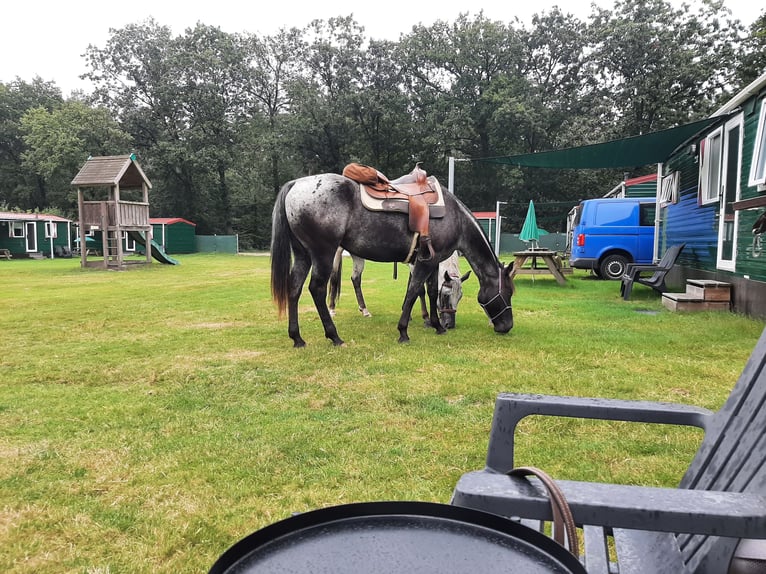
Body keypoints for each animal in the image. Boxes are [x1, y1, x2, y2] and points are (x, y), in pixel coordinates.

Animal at [270, 173, 516, 348]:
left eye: (461, 296)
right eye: (507, 293)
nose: (507, 326)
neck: (454, 217)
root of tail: (295, 184)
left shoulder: (433, 262)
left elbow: (429, 291)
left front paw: (436, 326)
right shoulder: (424, 263)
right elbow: (414, 291)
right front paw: (404, 331)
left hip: (303, 255)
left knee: (294, 288)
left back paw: (297, 338)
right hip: (324, 254)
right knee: (317, 289)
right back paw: (334, 336)